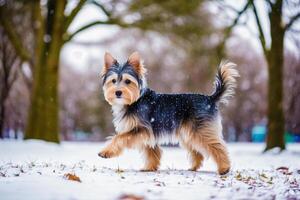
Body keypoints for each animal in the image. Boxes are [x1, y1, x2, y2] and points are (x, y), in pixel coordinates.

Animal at [98, 52, 239, 175]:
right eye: (113, 81)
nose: (118, 92)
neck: (134, 101)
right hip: (189, 134)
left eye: (127, 81)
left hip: (201, 130)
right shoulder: (148, 134)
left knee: (217, 147)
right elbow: (152, 152)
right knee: (197, 151)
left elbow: (119, 137)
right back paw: (194, 167)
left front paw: (106, 152)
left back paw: (224, 168)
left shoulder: (142, 129)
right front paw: (150, 167)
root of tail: (210, 98)